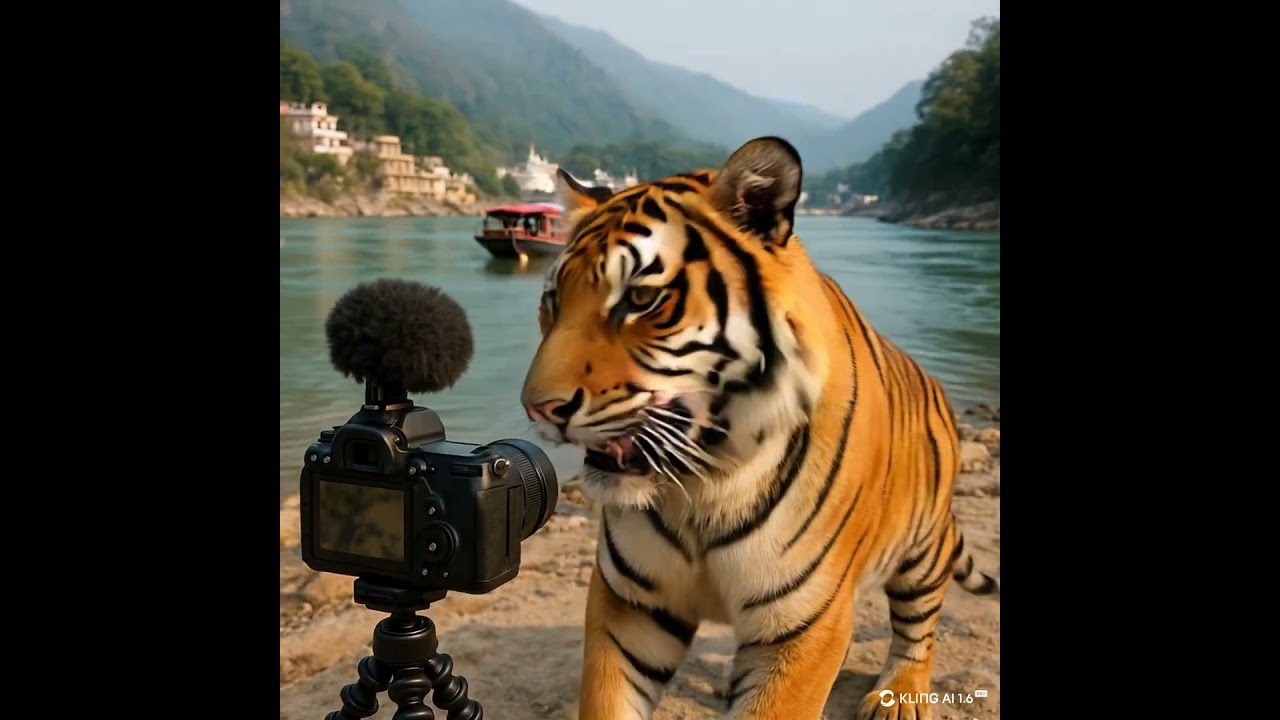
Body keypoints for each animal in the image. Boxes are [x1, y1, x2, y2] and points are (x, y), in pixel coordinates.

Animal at [519, 136, 999, 720]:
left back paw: (899, 697)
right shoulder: (631, 603)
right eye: (553, 301)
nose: (538, 409)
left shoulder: (806, 624)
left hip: (922, 550)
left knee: (918, 627)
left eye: (639, 299)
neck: (701, 486)